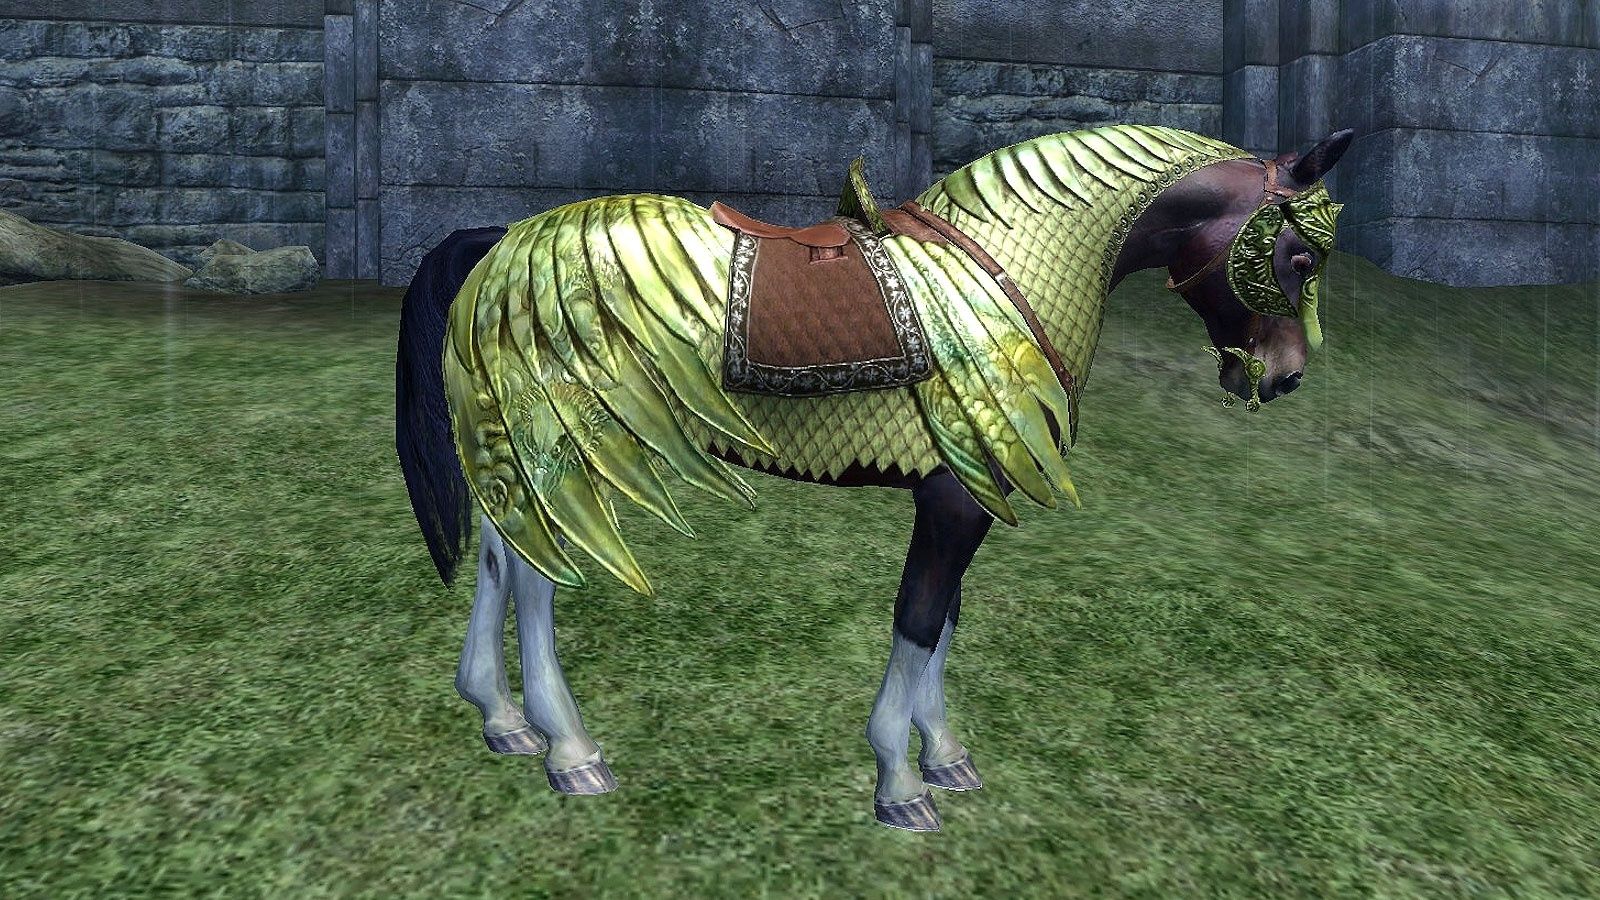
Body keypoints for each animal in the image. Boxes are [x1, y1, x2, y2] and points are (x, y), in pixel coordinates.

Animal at [395, 124, 1355, 831]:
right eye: (1301, 258)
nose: (1283, 377)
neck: (1005, 265)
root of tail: (499, 243)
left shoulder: (968, 489)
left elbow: (947, 621)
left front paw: (945, 754)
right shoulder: (955, 497)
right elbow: (921, 618)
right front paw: (900, 780)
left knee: (499, 557)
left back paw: (501, 719)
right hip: (566, 448)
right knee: (534, 579)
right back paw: (571, 751)